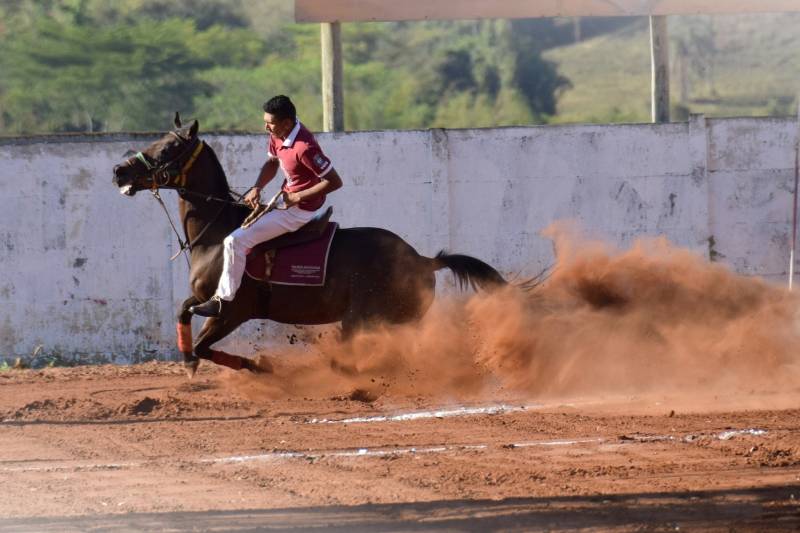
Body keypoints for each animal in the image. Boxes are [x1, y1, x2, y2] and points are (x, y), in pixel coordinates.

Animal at [112, 115, 506, 374]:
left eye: (168, 147)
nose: (120, 171)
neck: (216, 234)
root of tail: (423, 260)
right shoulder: (203, 299)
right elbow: (184, 314)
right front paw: (190, 362)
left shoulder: (231, 310)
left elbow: (203, 344)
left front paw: (259, 366)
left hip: (365, 317)